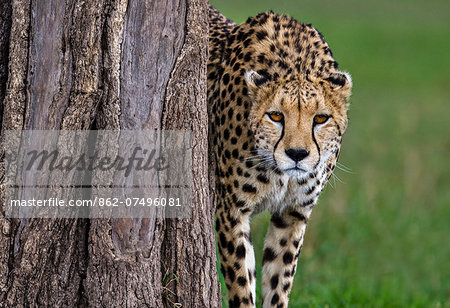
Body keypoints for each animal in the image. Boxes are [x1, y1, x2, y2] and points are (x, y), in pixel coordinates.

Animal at [207, 6, 352, 306]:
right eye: (275, 116)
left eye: (320, 118)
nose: (297, 154)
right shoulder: (231, 211)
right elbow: (242, 283)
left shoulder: (293, 214)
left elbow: (279, 279)